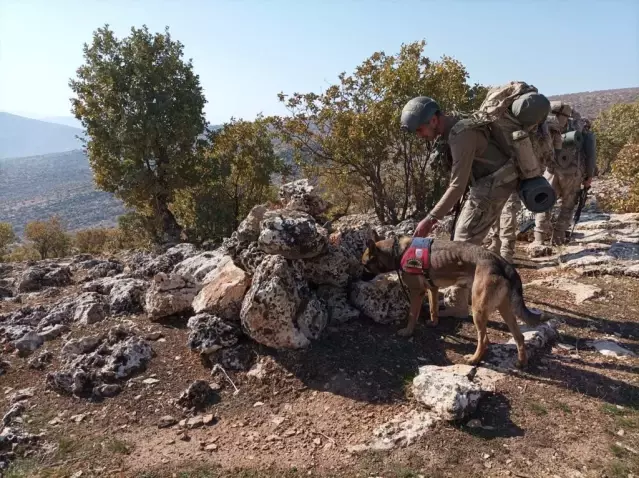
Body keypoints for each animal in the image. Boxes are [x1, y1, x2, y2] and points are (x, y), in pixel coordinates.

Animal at [362, 233, 544, 368]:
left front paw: (407, 332)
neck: (396, 251)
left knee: (484, 339)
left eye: (364, 265)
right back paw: (521, 362)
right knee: (519, 337)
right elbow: (434, 308)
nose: (359, 278)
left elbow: (413, 315)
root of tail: (502, 263)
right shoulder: (432, 289)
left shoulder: (416, 292)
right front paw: (433, 323)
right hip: (504, 308)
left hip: (478, 309)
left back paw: (474, 359)